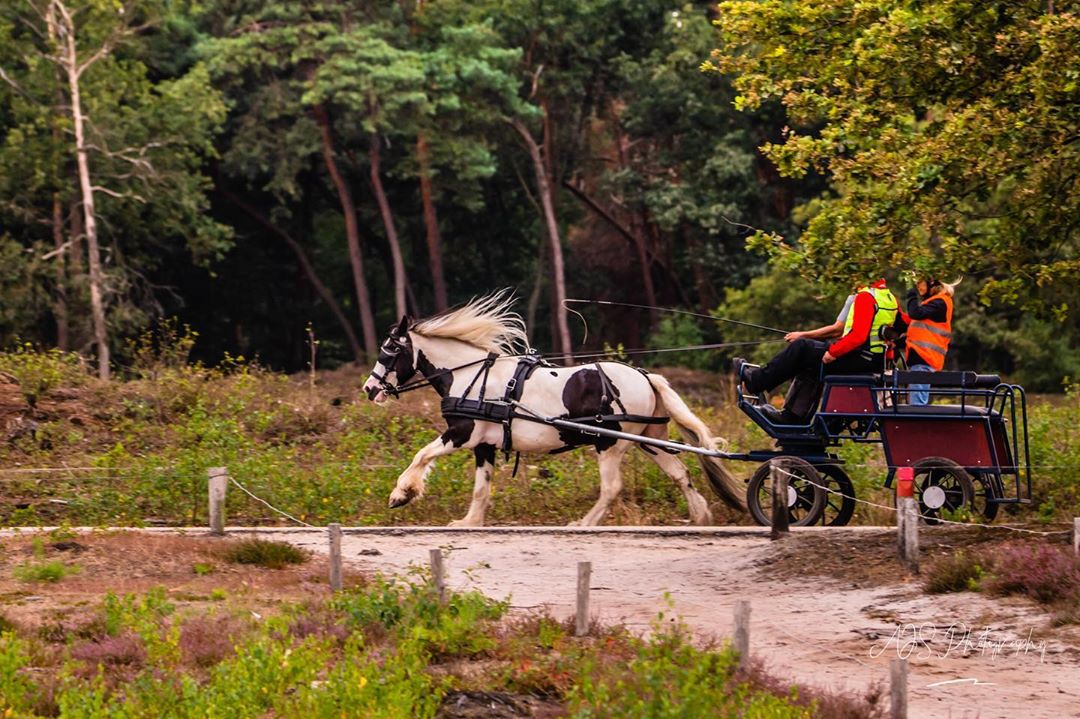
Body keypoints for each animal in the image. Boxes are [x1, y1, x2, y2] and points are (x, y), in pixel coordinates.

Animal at [360, 293, 743, 526]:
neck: (470, 376)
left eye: (390, 350)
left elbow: (422, 455)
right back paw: (701, 517)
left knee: (612, 488)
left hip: (610, 443)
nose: (369, 389)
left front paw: (402, 493)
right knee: (680, 473)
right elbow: (481, 488)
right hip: (649, 439)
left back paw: (585, 523)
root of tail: (645, 376)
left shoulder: (461, 433)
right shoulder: (484, 445)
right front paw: (470, 522)